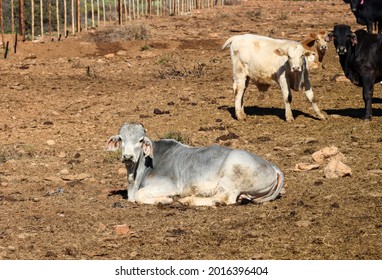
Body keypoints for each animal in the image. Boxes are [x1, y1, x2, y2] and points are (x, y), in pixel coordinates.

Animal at [104, 122, 284, 206]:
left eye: (141, 140)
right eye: (121, 139)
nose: (128, 157)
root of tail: (274, 167)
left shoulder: (169, 185)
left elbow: (141, 195)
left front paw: (166, 200)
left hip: (232, 173)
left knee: (225, 198)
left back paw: (188, 200)